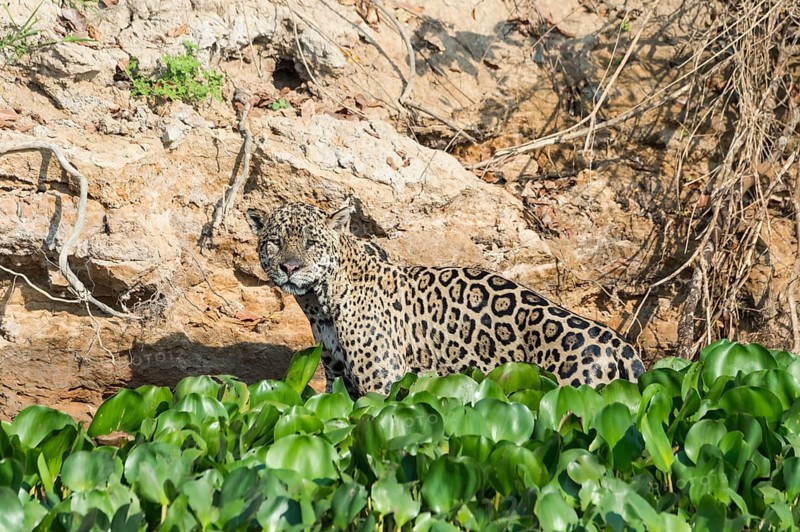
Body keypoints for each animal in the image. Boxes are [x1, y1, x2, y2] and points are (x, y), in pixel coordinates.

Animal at [246, 202, 645, 397]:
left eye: (311, 242)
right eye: (275, 242)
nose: (289, 267)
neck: (319, 303)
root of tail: (620, 344)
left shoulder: (381, 384)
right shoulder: (333, 378)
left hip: (577, 396)